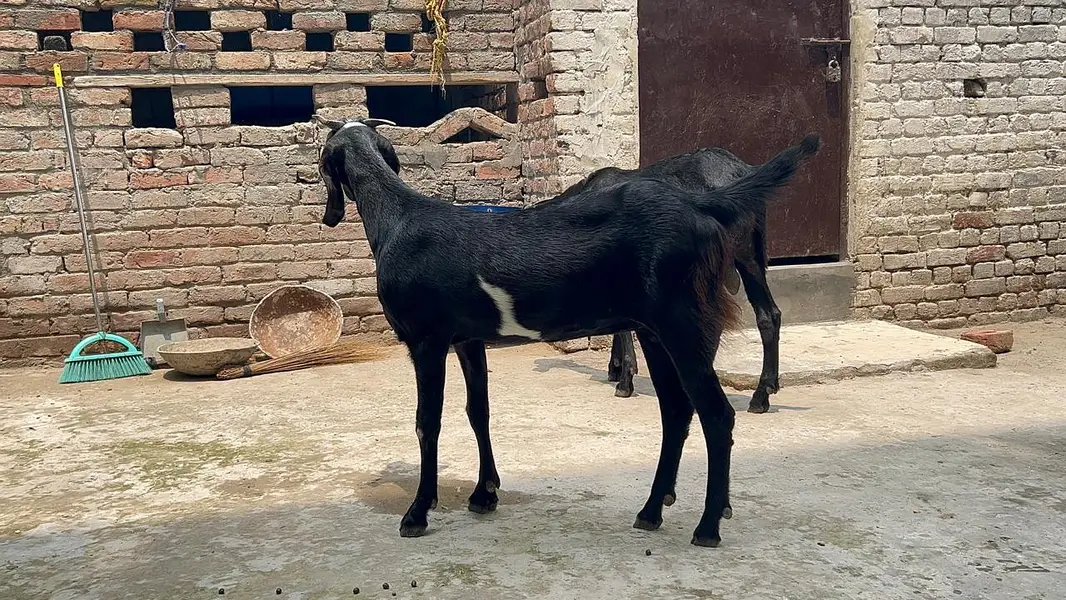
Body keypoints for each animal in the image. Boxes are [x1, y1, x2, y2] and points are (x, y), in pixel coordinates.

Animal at [554, 147, 788, 413]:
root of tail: (742, 170)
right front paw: (615, 368)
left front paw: (624, 380)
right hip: (749, 255)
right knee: (768, 315)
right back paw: (761, 395)